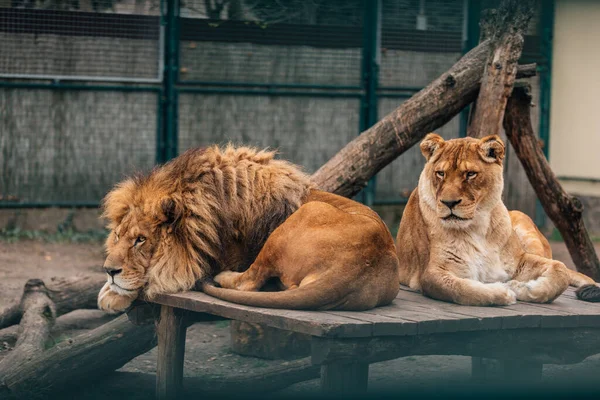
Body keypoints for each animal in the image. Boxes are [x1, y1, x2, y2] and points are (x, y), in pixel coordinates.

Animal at [97, 144, 398, 312]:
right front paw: (109, 289)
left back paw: (223, 277)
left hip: (304, 215)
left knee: (249, 281)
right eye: (117, 235)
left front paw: (112, 295)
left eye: (141, 240)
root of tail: (353, 270)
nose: (109, 270)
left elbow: (162, 274)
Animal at [394, 134, 600, 306]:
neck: (476, 226)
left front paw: (522, 287)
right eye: (440, 173)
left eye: (470, 174)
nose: (449, 203)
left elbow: (560, 269)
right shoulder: (431, 273)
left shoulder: (519, 260)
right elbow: (461, 289)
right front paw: (504, 291)